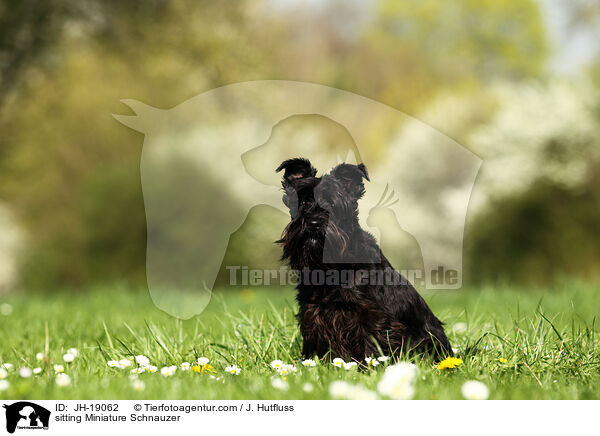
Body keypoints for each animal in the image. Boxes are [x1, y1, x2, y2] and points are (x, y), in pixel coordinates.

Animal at [276, 158, 450, 362]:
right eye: (302, 201)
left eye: (333, 203)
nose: (313, 223)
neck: (329, 267)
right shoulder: (312, 313)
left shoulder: (371, 317)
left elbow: (370, 342)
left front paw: (368, 365)